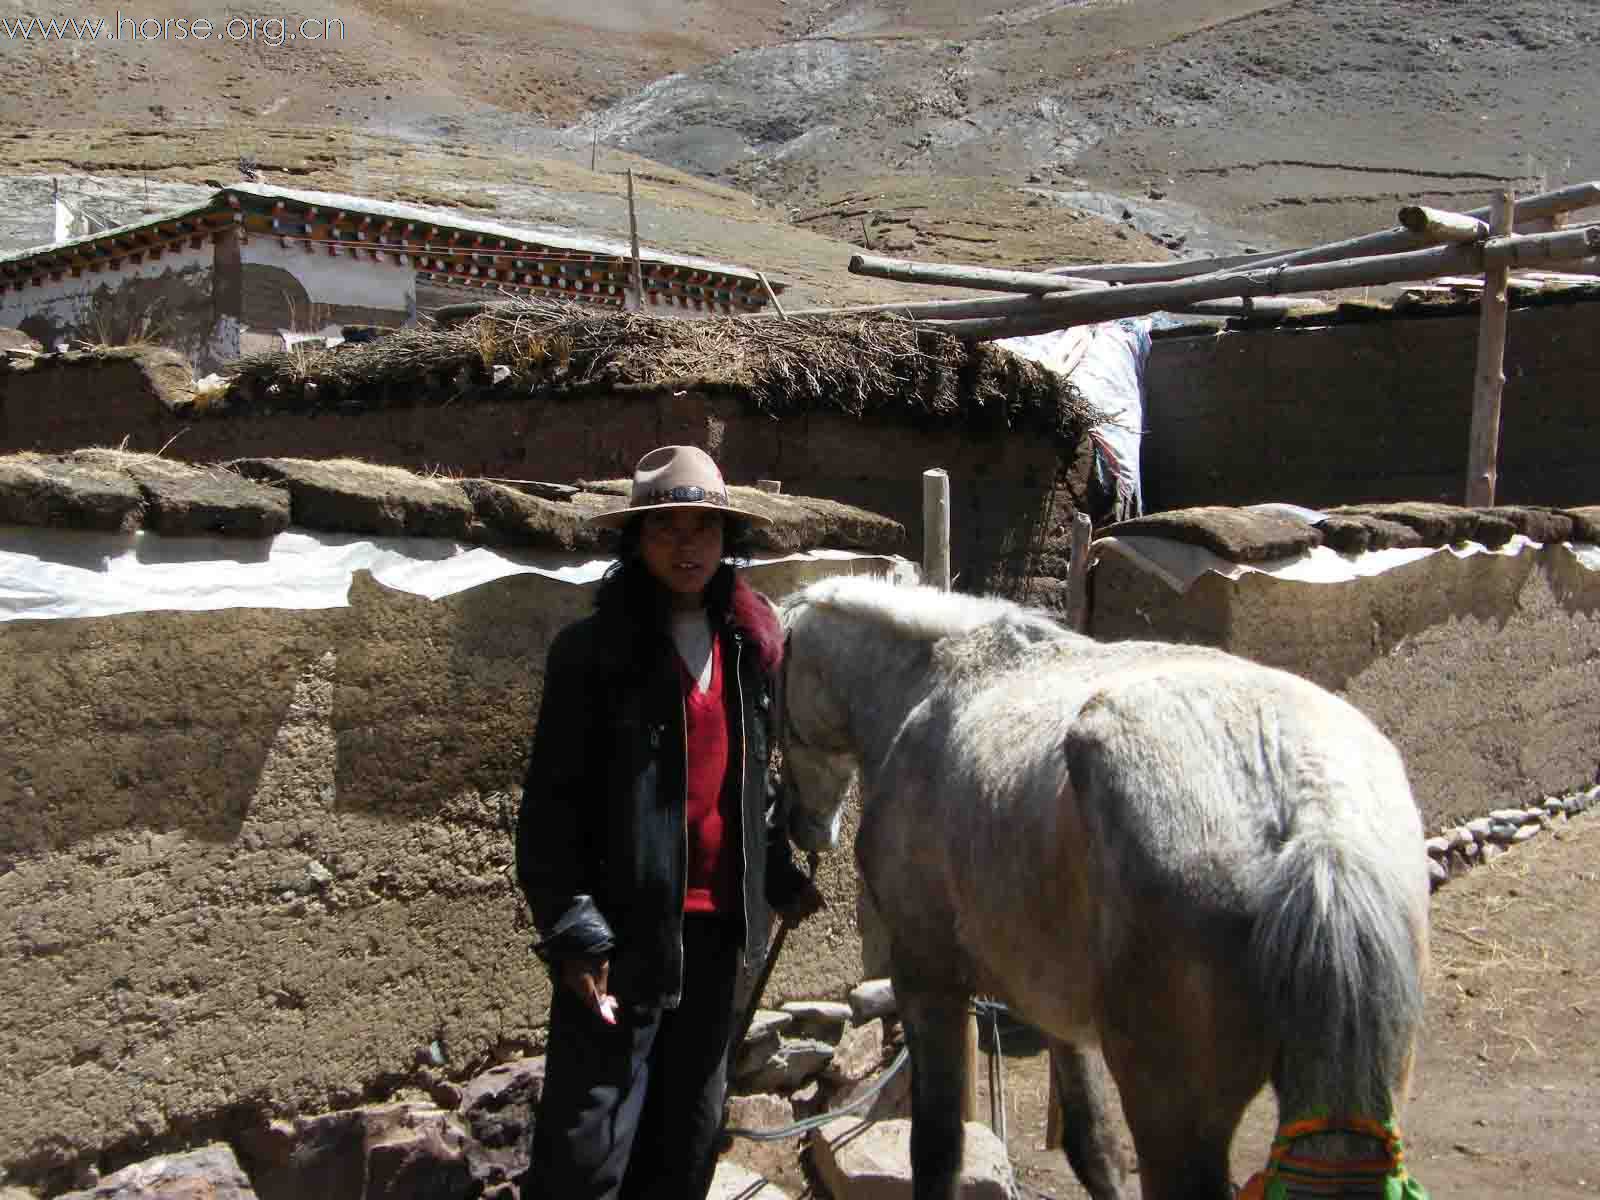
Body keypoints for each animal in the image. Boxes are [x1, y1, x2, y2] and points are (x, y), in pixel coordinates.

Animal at [780, 579, 1433, 1200]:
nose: (800, 827)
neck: (927, 687)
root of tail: (1311, 808)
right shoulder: (1053, 1002)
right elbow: (1091, 1144)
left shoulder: (926, 977)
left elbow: (937, 1151)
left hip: (1172, 1113)